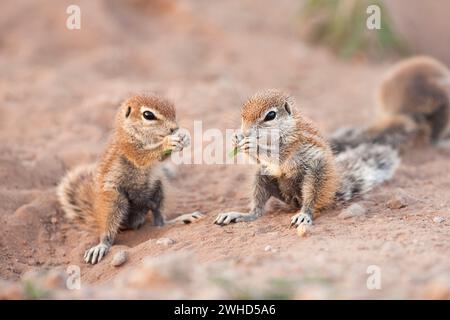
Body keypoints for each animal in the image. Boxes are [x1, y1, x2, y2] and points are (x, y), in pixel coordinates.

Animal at [58, 95, 204, 264]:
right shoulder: (128, 148)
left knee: (160, 221)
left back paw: (181, 219)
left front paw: (185, 138)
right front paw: (169, 142)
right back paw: (101, 246)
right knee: (108, 230)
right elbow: (143, 157)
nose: (174, 129)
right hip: (114, 201)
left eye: (173, 109)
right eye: (148, 115)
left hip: (159, 189)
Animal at [215, 89, 400, 228]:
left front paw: (253, 144)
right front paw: (236, 138)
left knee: (311, 201)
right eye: (242, 114)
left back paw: (304, 214)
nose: (245, 132)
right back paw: (241, 215)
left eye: (270, 115)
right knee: (257, 210)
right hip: (261, 177)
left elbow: (279, 156)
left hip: (316, 176)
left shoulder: (294, 142)